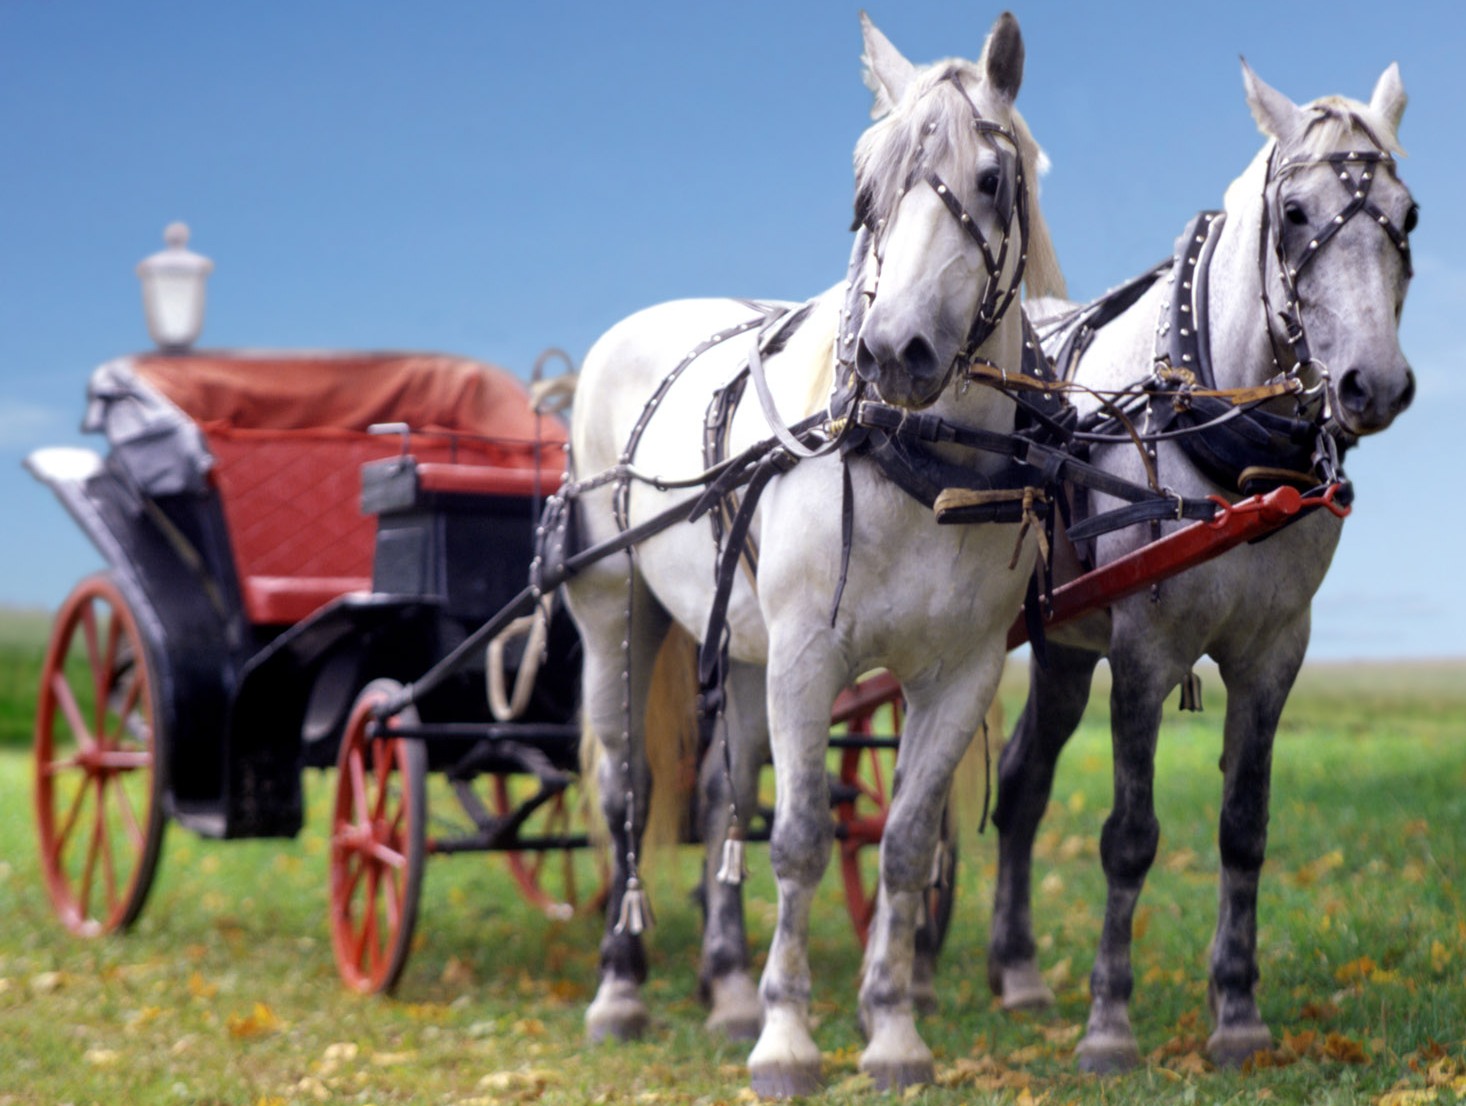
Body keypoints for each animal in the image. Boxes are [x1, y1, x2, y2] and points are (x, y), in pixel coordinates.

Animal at [562, 10, 1067, 1097]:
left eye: (990, 179)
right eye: (864, 189)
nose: (892, 350)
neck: (915, 462)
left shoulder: (957, 673)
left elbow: (903, 844)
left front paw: (890, 1031)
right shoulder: (806, 658)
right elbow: (796, 839)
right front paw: (788, 1038)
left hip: (740, 645)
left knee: (721, 795)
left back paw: (724, 987)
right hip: (614, 609)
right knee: (627, 791)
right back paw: (620, 987)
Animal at [985, 60, 1419, 1067]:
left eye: (1408, 214)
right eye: (1295, 212)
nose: (1374, 384)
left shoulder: (1273, 654)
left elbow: (1244, 830)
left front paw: (1238, 1013)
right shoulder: (1144, 653)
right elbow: (1130, 836)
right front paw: (1109, 1024)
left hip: (1063, 645)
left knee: (1022, 783)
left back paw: (1017, 972)